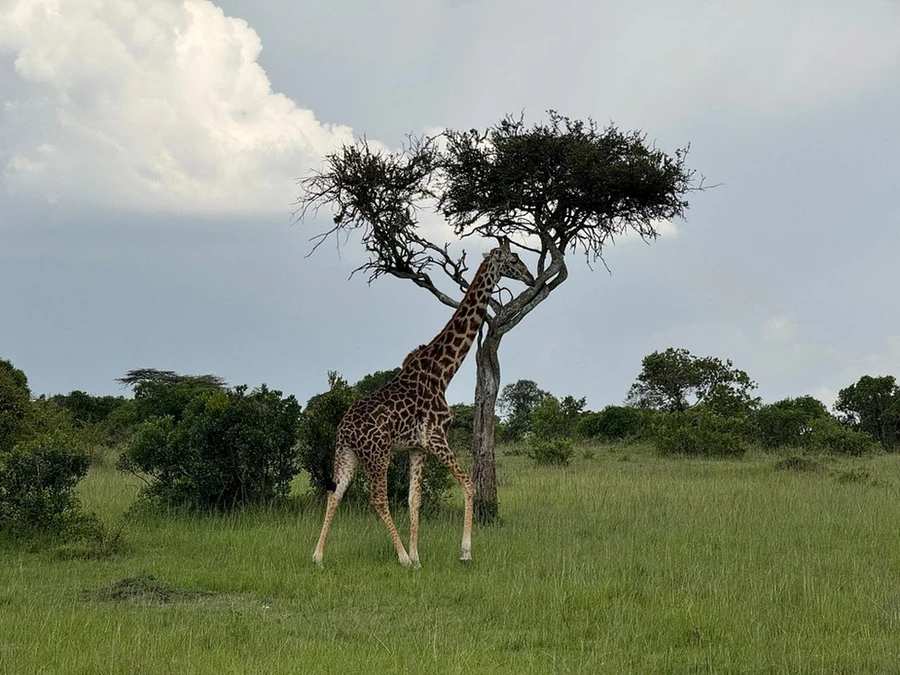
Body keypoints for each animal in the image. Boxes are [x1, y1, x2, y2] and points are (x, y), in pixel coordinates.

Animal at [312, 239, 535, 567]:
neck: (443, 372)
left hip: (347, 454)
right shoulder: (435, 437)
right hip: (378, 454)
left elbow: (414, 499)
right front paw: (463, 552)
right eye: (515, 259)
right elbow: (468, 485)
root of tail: (344, 430)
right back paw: (401, 557)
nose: (531, 278)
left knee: (336, 492)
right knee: (377, 498)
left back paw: (318, 556)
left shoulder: (416, 446)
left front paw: (419, 557)